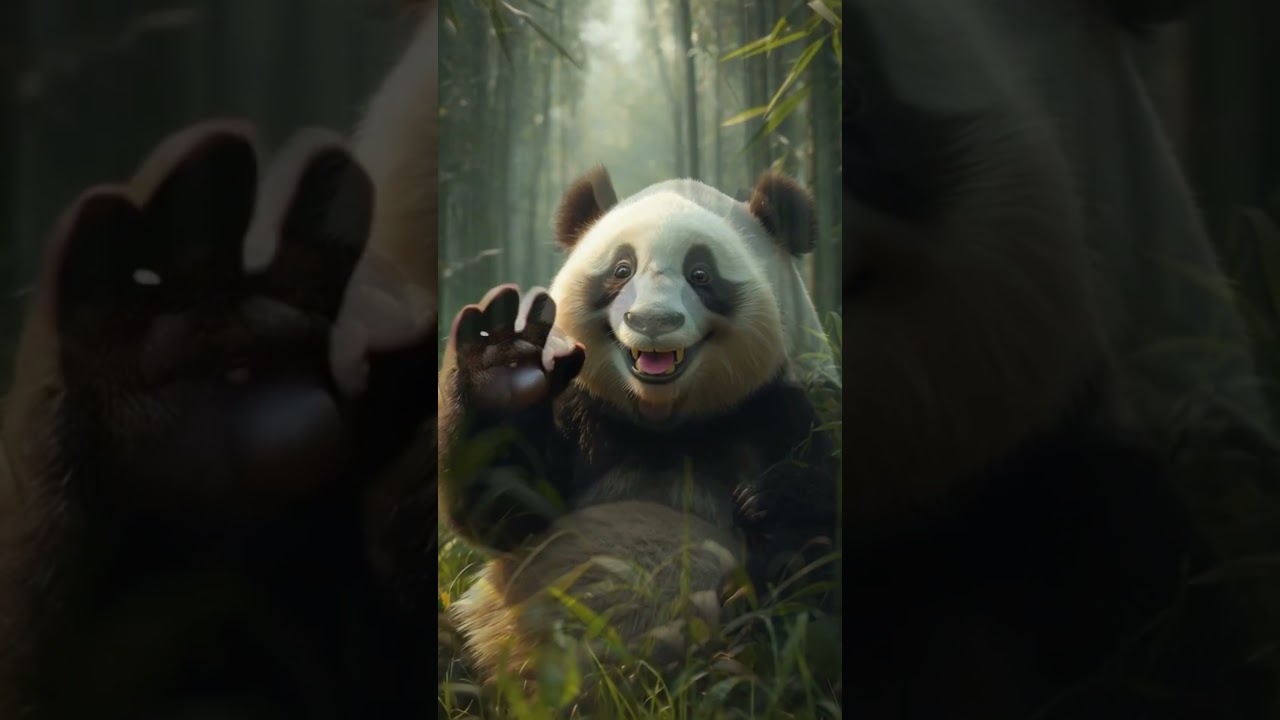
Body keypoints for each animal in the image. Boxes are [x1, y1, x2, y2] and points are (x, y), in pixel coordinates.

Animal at [437, 167, 841, 684]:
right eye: (622, 270)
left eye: (700, 274)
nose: (652, 321)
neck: (666, 424)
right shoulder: (584, 412)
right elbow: (506, 507)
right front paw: (503, 366)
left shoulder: (782, 404)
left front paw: (770, 496)